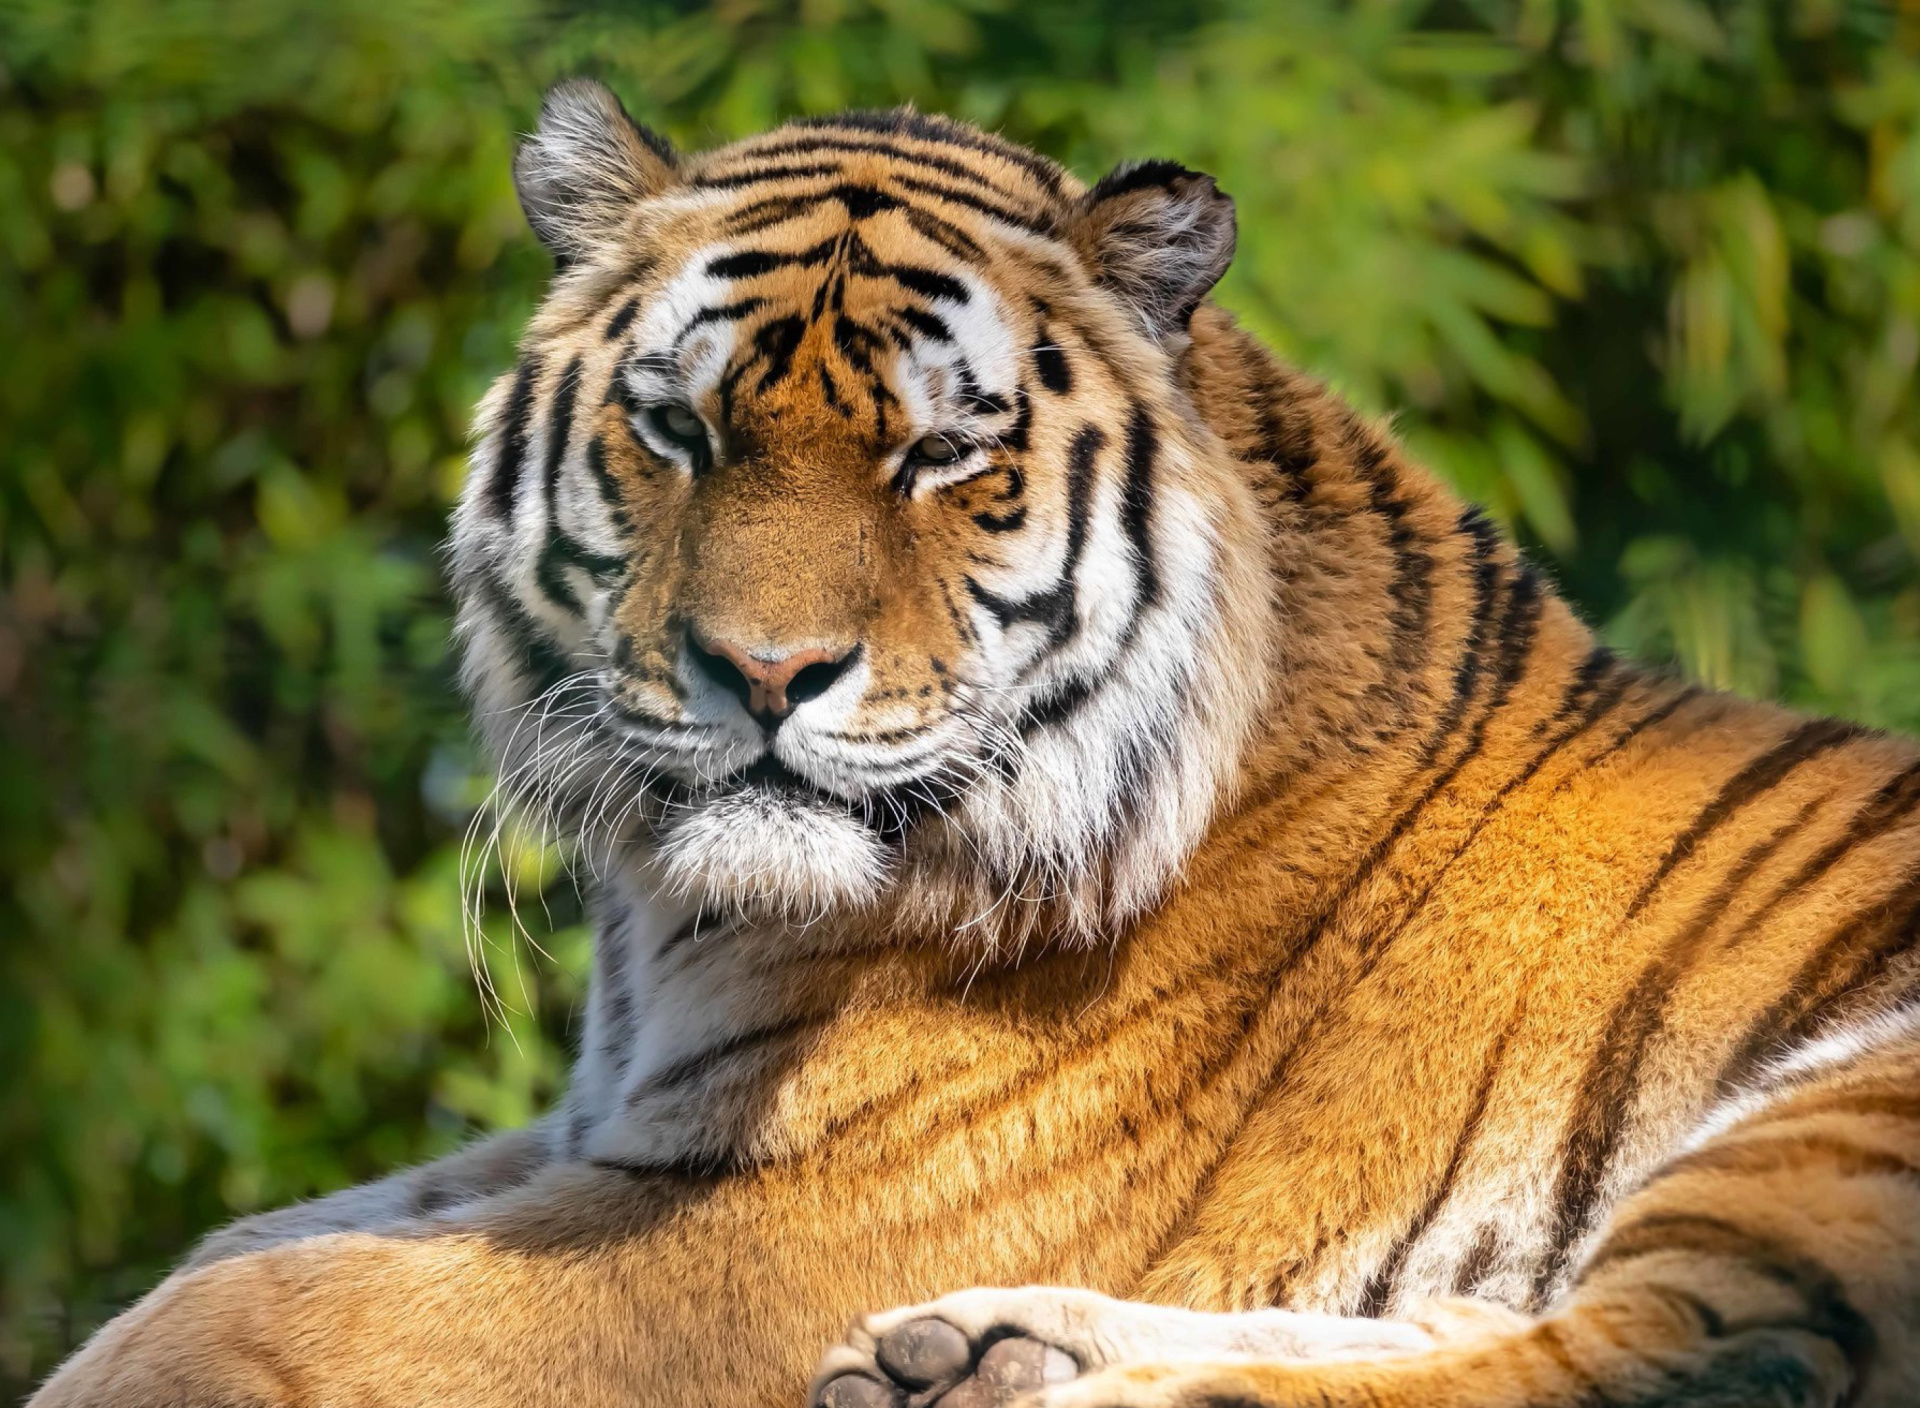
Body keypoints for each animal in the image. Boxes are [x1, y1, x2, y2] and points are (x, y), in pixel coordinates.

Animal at [30, 73, 1920, 1406]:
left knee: (1691, 1354)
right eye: (680, 430)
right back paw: (983, 1358)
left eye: (941, 456)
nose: (765, 671)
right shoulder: (596, 1137)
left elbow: (239, 1303)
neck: (688, 928)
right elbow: (238, 1239)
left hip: (1840, 1109)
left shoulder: (780, 1226)